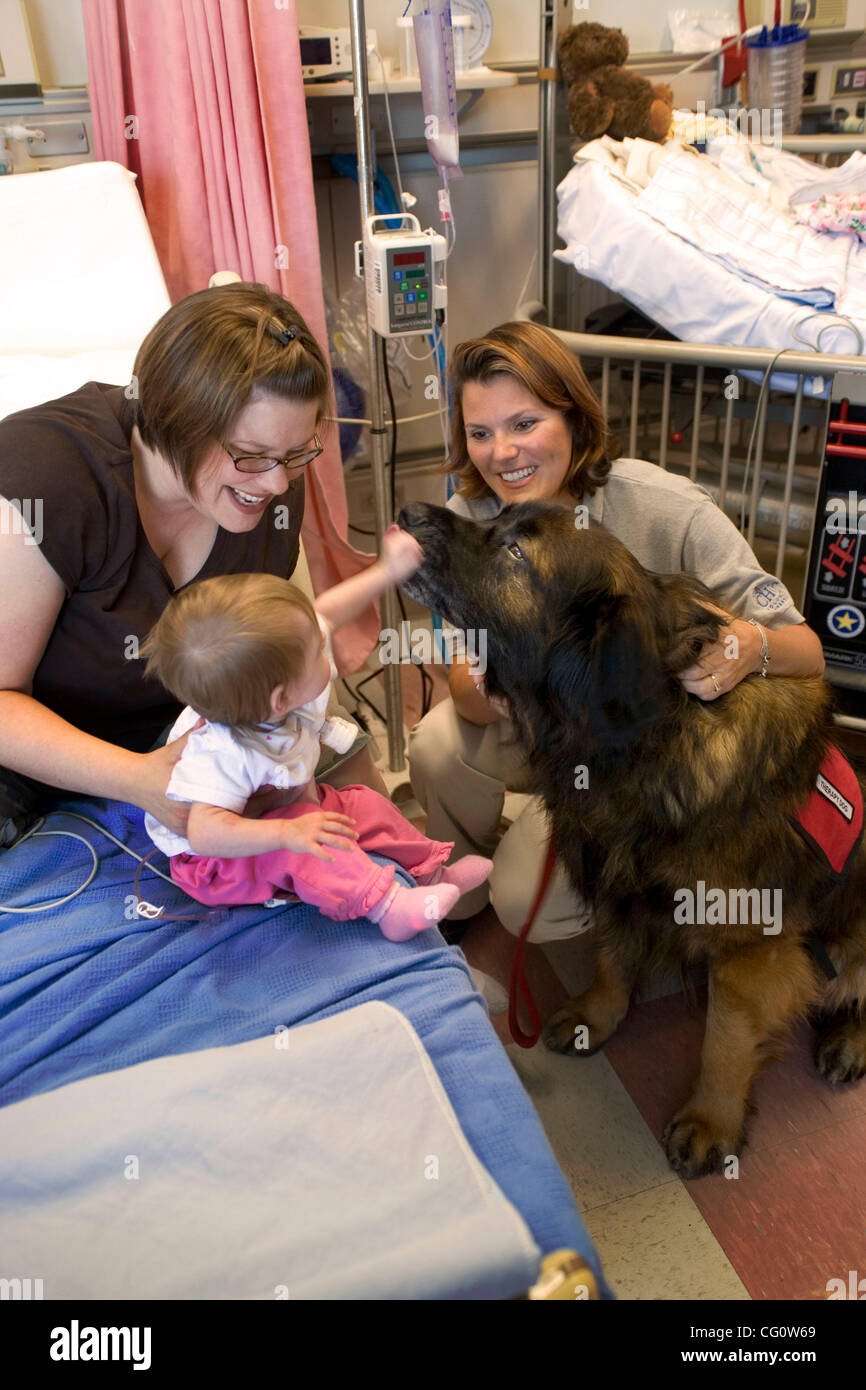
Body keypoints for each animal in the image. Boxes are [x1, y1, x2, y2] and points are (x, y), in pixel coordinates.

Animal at [400, 497, 866, 1173]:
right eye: (499, 516)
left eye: (516, 551)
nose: (408, 512)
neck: (647, 737)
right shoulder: (616, 873)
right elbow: (614, 958)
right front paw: (598, 1016)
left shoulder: (751, 943)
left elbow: (726, 1037)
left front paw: (710, 1120)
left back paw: (850, 1038)